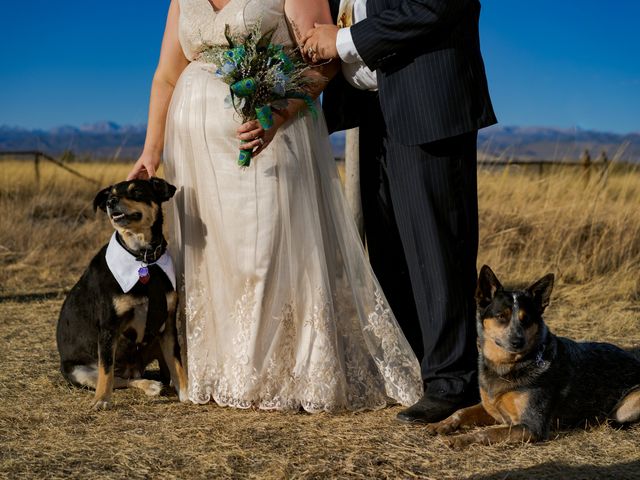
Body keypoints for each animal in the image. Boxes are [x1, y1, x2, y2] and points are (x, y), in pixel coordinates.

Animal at [55, 178, 188, 410]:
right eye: (111, 194)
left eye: (137, 191)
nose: (111, 202)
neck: (144, 258)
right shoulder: (109, 327)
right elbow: (106, 370)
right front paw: (101, 399)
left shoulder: (168, 326)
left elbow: (177, 364)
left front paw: (187, 392)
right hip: (78, 371)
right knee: (119, 379)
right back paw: (148, 385)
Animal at [424, 264, 640, 448]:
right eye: (501, 316)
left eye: (526, 319)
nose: (517, 341)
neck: (506, 367)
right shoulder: (491, 408)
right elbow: (461, 411)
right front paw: (441, 424)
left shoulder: (531, 426)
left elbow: (487, 433)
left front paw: (459, 439)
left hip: (625, 407)